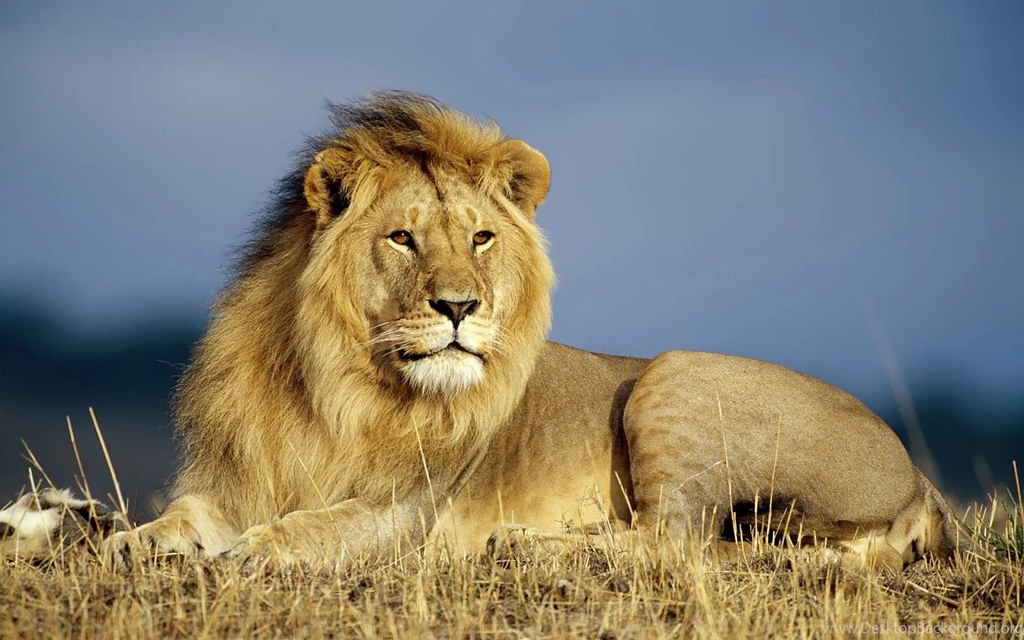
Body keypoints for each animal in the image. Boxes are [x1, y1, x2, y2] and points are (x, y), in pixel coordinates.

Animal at [24, 92, 958, 571]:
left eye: (479, 237)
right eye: (403, 238)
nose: (458, 307)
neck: (335, 385)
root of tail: (918, 481)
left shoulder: (407, 512)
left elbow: (309, 530)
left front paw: (248, 556)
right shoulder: (234, 481)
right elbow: (179, 519)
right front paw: (117, 540)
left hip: (674, 375)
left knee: (675, 544)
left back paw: (527, 544)